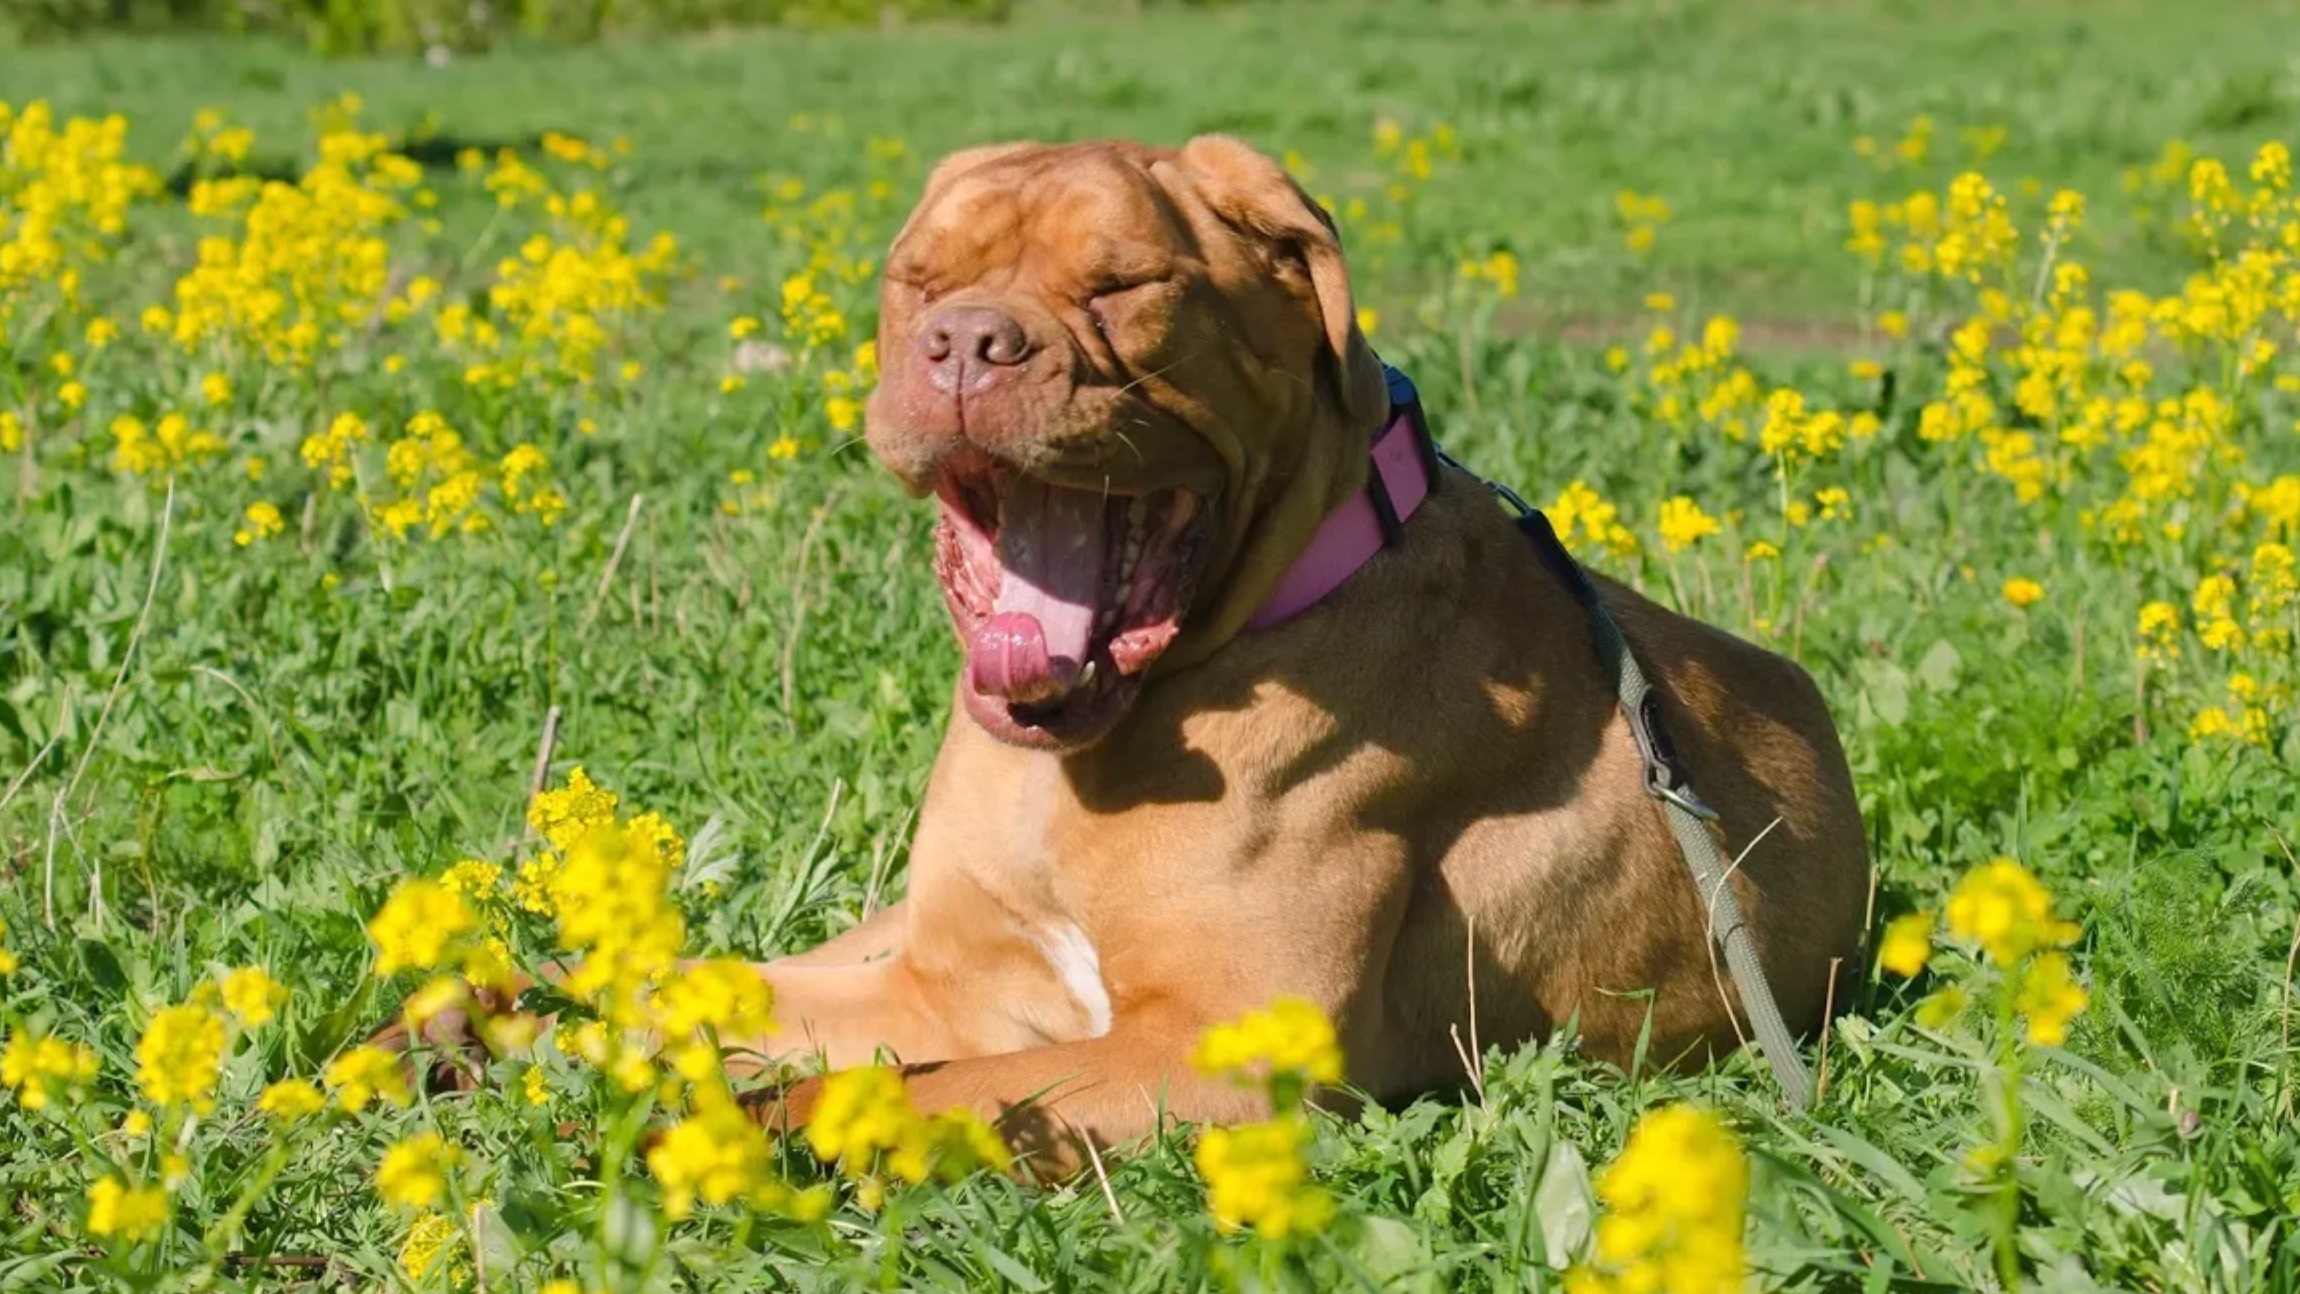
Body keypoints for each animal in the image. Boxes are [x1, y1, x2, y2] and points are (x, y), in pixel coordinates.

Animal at [395, 136, 1867, 1167]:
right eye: (918, 282)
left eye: (1125, 284)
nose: (968, 341)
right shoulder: (950, 979)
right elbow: (737, 1004)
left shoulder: (1204, 1053)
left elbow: (889, 1091)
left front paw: (682, 1136)